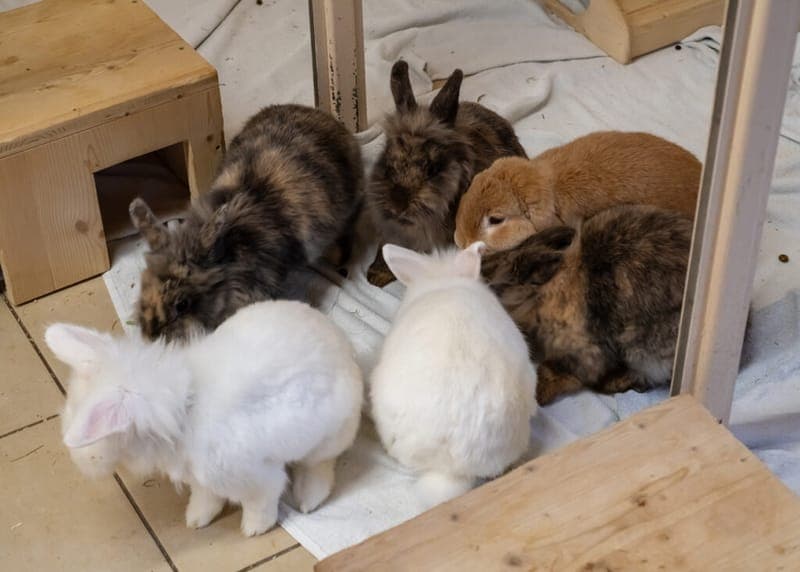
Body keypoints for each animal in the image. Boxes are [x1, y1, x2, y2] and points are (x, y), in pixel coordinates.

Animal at [44, 300, 363, 537]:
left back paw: (308, 498)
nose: (79, 459)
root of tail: (348, 352)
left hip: (327, 437)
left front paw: (254, 529)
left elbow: (261, 501)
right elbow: (206, 497)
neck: (185, 410)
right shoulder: (201, 479)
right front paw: (196, 519)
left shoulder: (253, 477)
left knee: (321, 465)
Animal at [481, 204, 691, 406]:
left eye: (490, 273)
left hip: (641, 350)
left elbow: (559, 370)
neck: (540, 295)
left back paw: (613, 382)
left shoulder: (582, 352)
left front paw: (540, 394)